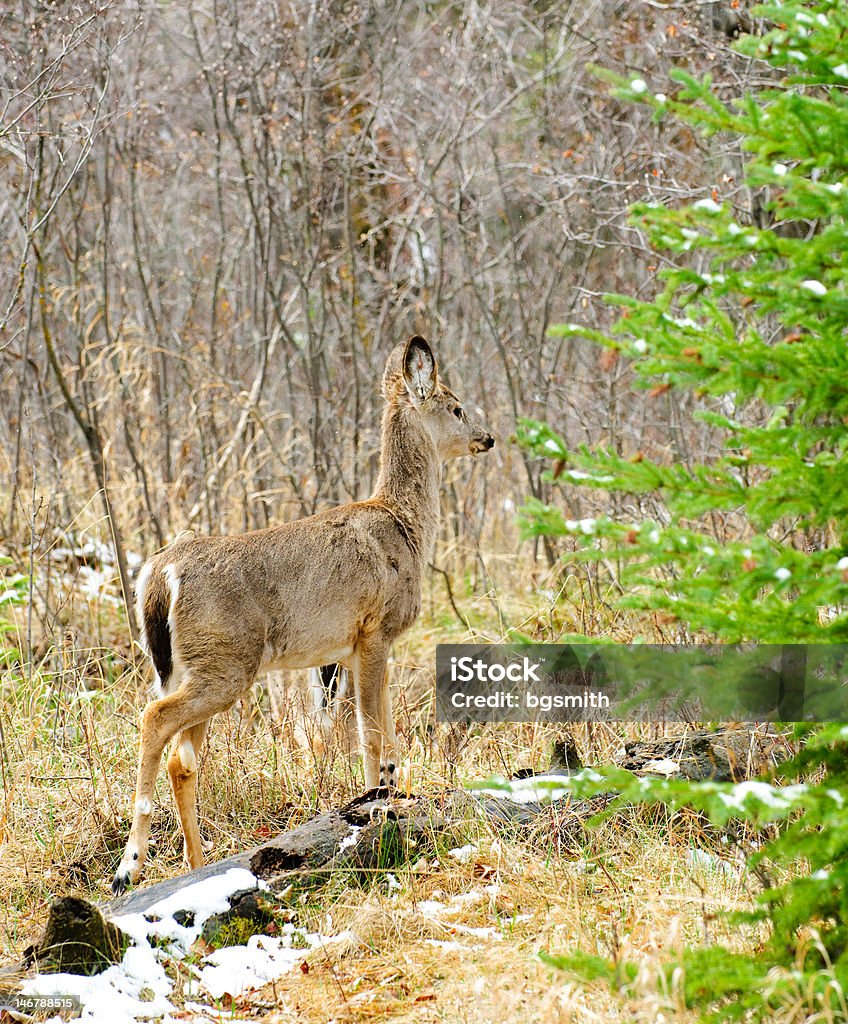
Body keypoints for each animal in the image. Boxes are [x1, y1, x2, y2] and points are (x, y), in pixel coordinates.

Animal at [114, 337, 497, 897]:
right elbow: (371, 735)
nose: (487, 437)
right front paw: (375, 808)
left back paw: (195, 865)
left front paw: (386, 796)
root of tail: (160, 574)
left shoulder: (357, 647)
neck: (405, 528)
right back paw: (129, 867)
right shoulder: (373, 631)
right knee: (154, 720)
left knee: (182, 759)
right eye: (456, 407)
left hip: (190, 665)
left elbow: (387, 736)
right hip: (226, 661)